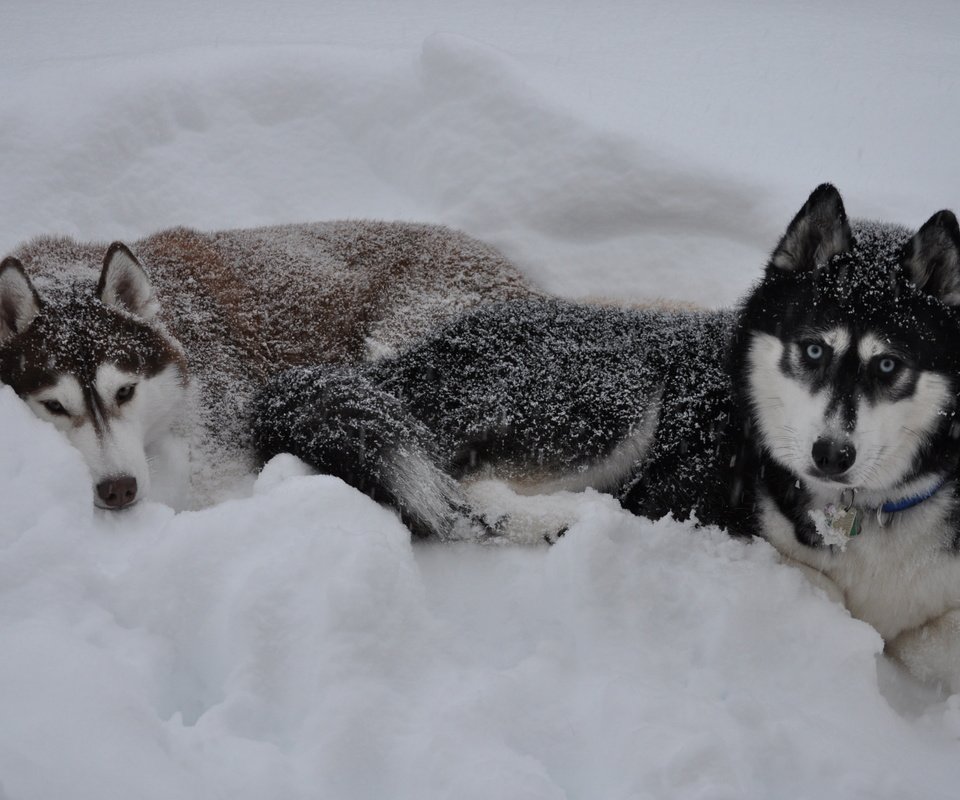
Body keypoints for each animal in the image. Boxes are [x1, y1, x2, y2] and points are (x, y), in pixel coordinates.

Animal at [249, 188, 960, 692]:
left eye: (888, 365)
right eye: (813, 350)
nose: (832, 456)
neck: (868, 513)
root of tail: (405, 359)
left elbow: (931, 639)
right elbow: (838, 603)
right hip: (617, 397)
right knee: (461, 492)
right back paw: (557, 520)